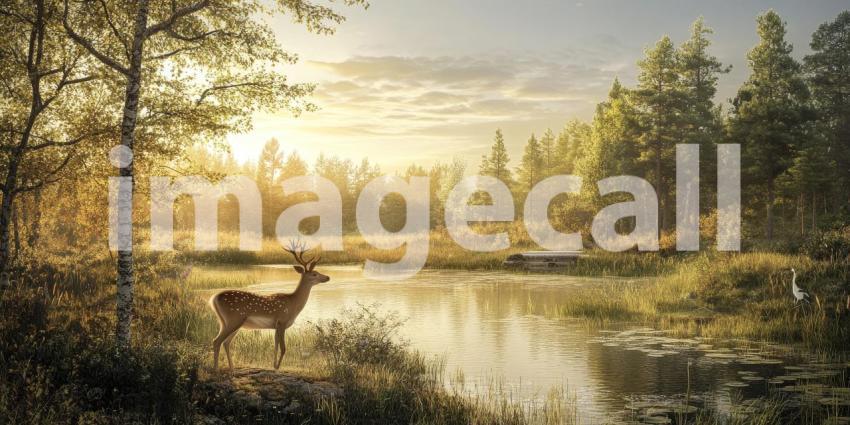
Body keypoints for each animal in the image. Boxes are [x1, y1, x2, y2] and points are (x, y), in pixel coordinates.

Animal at [209, 241, 329, 370]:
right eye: (314, 274)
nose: (328, 277)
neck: (293, 303)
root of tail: (214, 298)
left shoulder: (275, 326)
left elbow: (275, 345)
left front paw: (274, 365)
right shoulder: (282, 321)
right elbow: (283, 348)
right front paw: (277, 367)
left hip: (228, 322)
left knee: (226, 342)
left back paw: (232, 368)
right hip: (234, 319)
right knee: (217, 341)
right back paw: (216, 369)